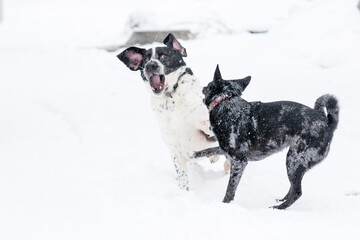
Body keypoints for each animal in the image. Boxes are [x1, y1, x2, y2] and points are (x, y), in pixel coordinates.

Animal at [193, 65, 338, 208]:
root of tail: (328, 123)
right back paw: (281, 200)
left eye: (208, 85)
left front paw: (224, 205)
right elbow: (208, 150)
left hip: (294, 159)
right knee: (293, 188)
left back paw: (278, 208)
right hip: (295, 161)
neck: (226, 102)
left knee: (297, 191)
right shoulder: (225, 151)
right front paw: (193, 154)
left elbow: (230, 190)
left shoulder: (239, 161)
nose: (203, 87)